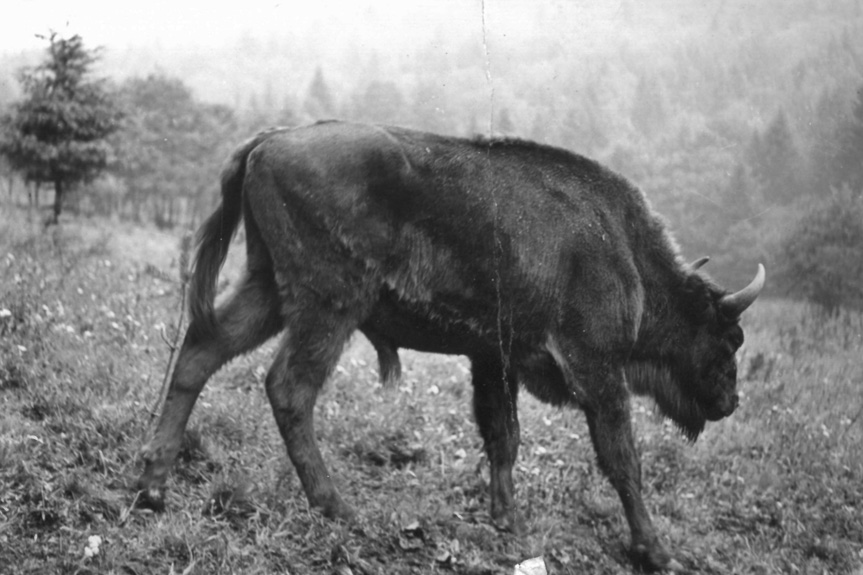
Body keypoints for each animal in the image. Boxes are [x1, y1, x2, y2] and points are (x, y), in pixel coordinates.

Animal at [138, 121, 768, 572]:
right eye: (729, 338)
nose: (730, 402)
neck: (625, 253)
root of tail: (267, 142)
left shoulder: (494, 360)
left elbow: (503, 437)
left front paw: (507, 520)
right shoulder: (597, 370)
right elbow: (622, 460)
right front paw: (656, 551)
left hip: (267, 287)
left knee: (200, 351)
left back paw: (152, 487)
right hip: (329, 304)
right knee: (288, 388)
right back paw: (338, 506)